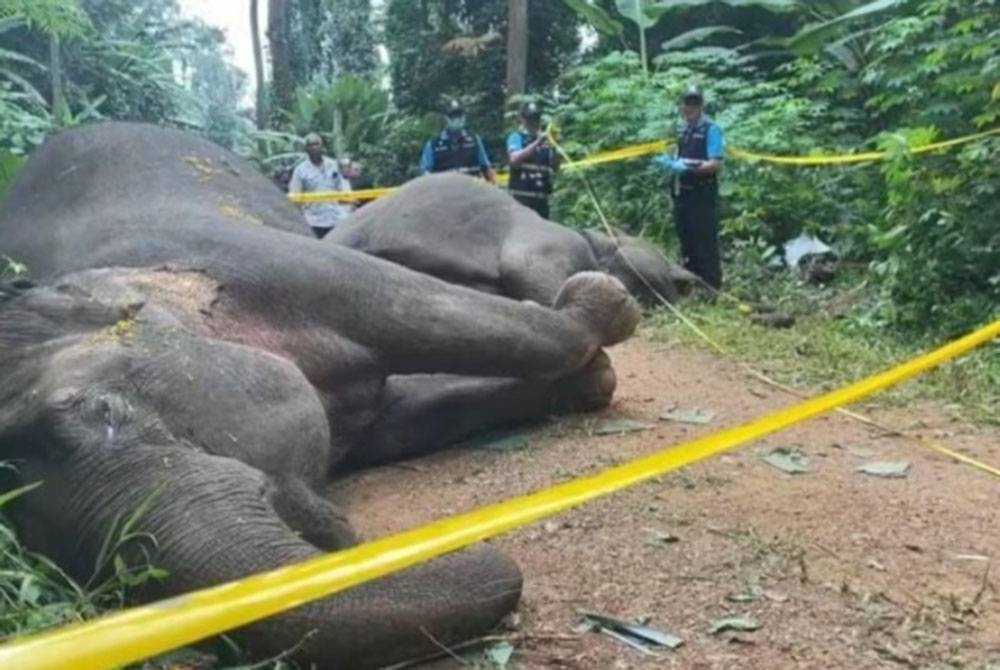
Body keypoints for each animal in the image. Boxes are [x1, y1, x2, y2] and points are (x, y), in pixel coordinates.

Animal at [0, 123, 640, 668]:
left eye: (104, 410)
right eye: (30, 539)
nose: (477, 547)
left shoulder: (254, 259)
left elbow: (414, 308)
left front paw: (603, 307)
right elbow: (405, 416)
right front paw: (593, 371)